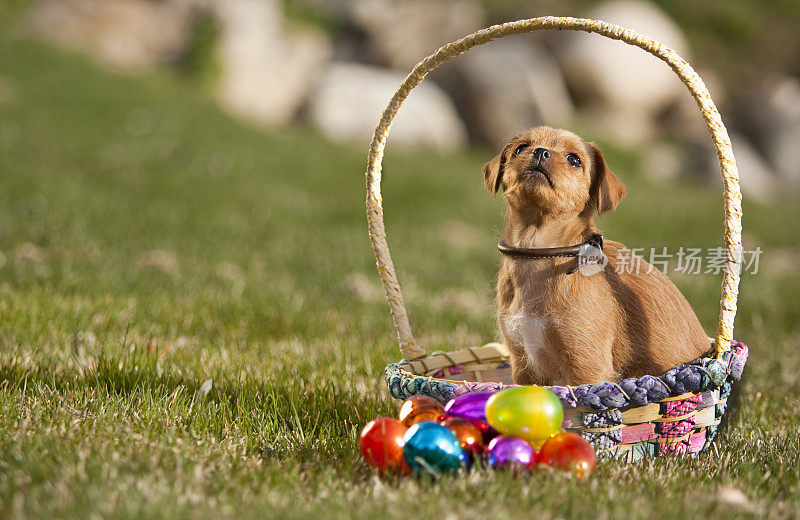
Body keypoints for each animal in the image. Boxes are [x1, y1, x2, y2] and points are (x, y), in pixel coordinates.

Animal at [484, 126, 708, 386]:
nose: (540, 151)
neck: (538, 253)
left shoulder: (588, 366)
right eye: (520, 148)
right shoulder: (523, 366)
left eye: (574, 160)